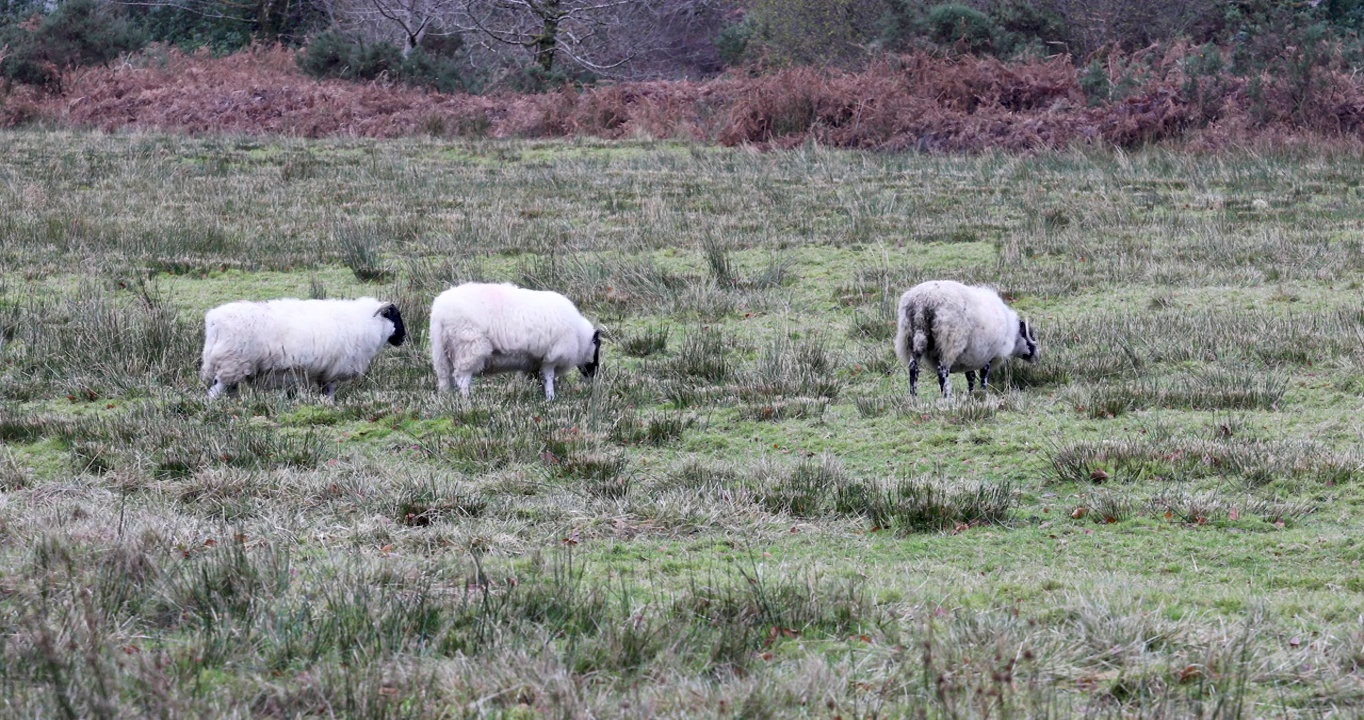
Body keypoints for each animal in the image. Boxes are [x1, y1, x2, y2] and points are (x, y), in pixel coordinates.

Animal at [199, 297, 403, 400]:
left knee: (231, 389)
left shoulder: (325, 371)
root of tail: (214, 321)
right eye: (395, 316)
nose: (403, 339)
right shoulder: (334, 369)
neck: (366, 321)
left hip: (234, 366)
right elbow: (329, 392)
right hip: (232, 362)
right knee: (215, 390)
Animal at [425, 280, 597, 398]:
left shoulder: (534, 362)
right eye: (597, 351)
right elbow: (548, 377)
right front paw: (550, 397)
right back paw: (467, 400)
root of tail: (440, 311)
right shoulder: (552, 355)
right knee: (462, 377)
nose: (593, 377)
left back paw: (448, 399)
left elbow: (538, 378)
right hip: (468, 346)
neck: (579, 337)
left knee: (444, 377)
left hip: (440, 352)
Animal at [889, 278, 1036, 395]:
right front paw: (982, 394)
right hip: (948, 342)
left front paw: (971, 395)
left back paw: (913, 397)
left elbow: (970, 377)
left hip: (912, 336)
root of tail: (923, 302)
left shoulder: (969, 357)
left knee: (913, 368)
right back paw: (946, 397)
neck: (1011, 330)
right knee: (942, 371)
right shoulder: (987, 355)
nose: (1037, 356)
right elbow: (983, 377)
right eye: (1030, 335)